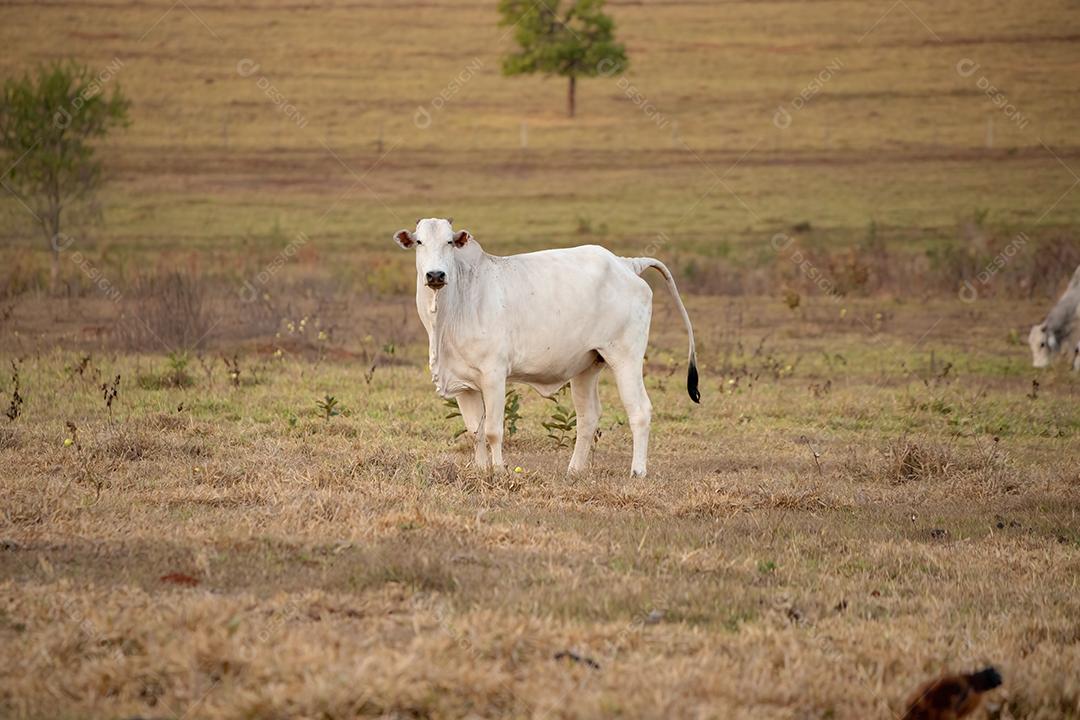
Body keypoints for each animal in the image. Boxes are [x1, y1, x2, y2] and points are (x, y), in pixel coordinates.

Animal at [394, 218, 699, 477]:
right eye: (419, 241)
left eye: (449, 242)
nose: (435, 275)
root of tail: (626, 264)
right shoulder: (463, 385)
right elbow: (474, 431)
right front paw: (480, 471)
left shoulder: (494, 375)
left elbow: (493, 430)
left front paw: (500, 471)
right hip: (587, 367)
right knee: (588, 417)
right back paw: (574, 470)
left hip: (626, 358)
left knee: (640, 411)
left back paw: (637, 472)